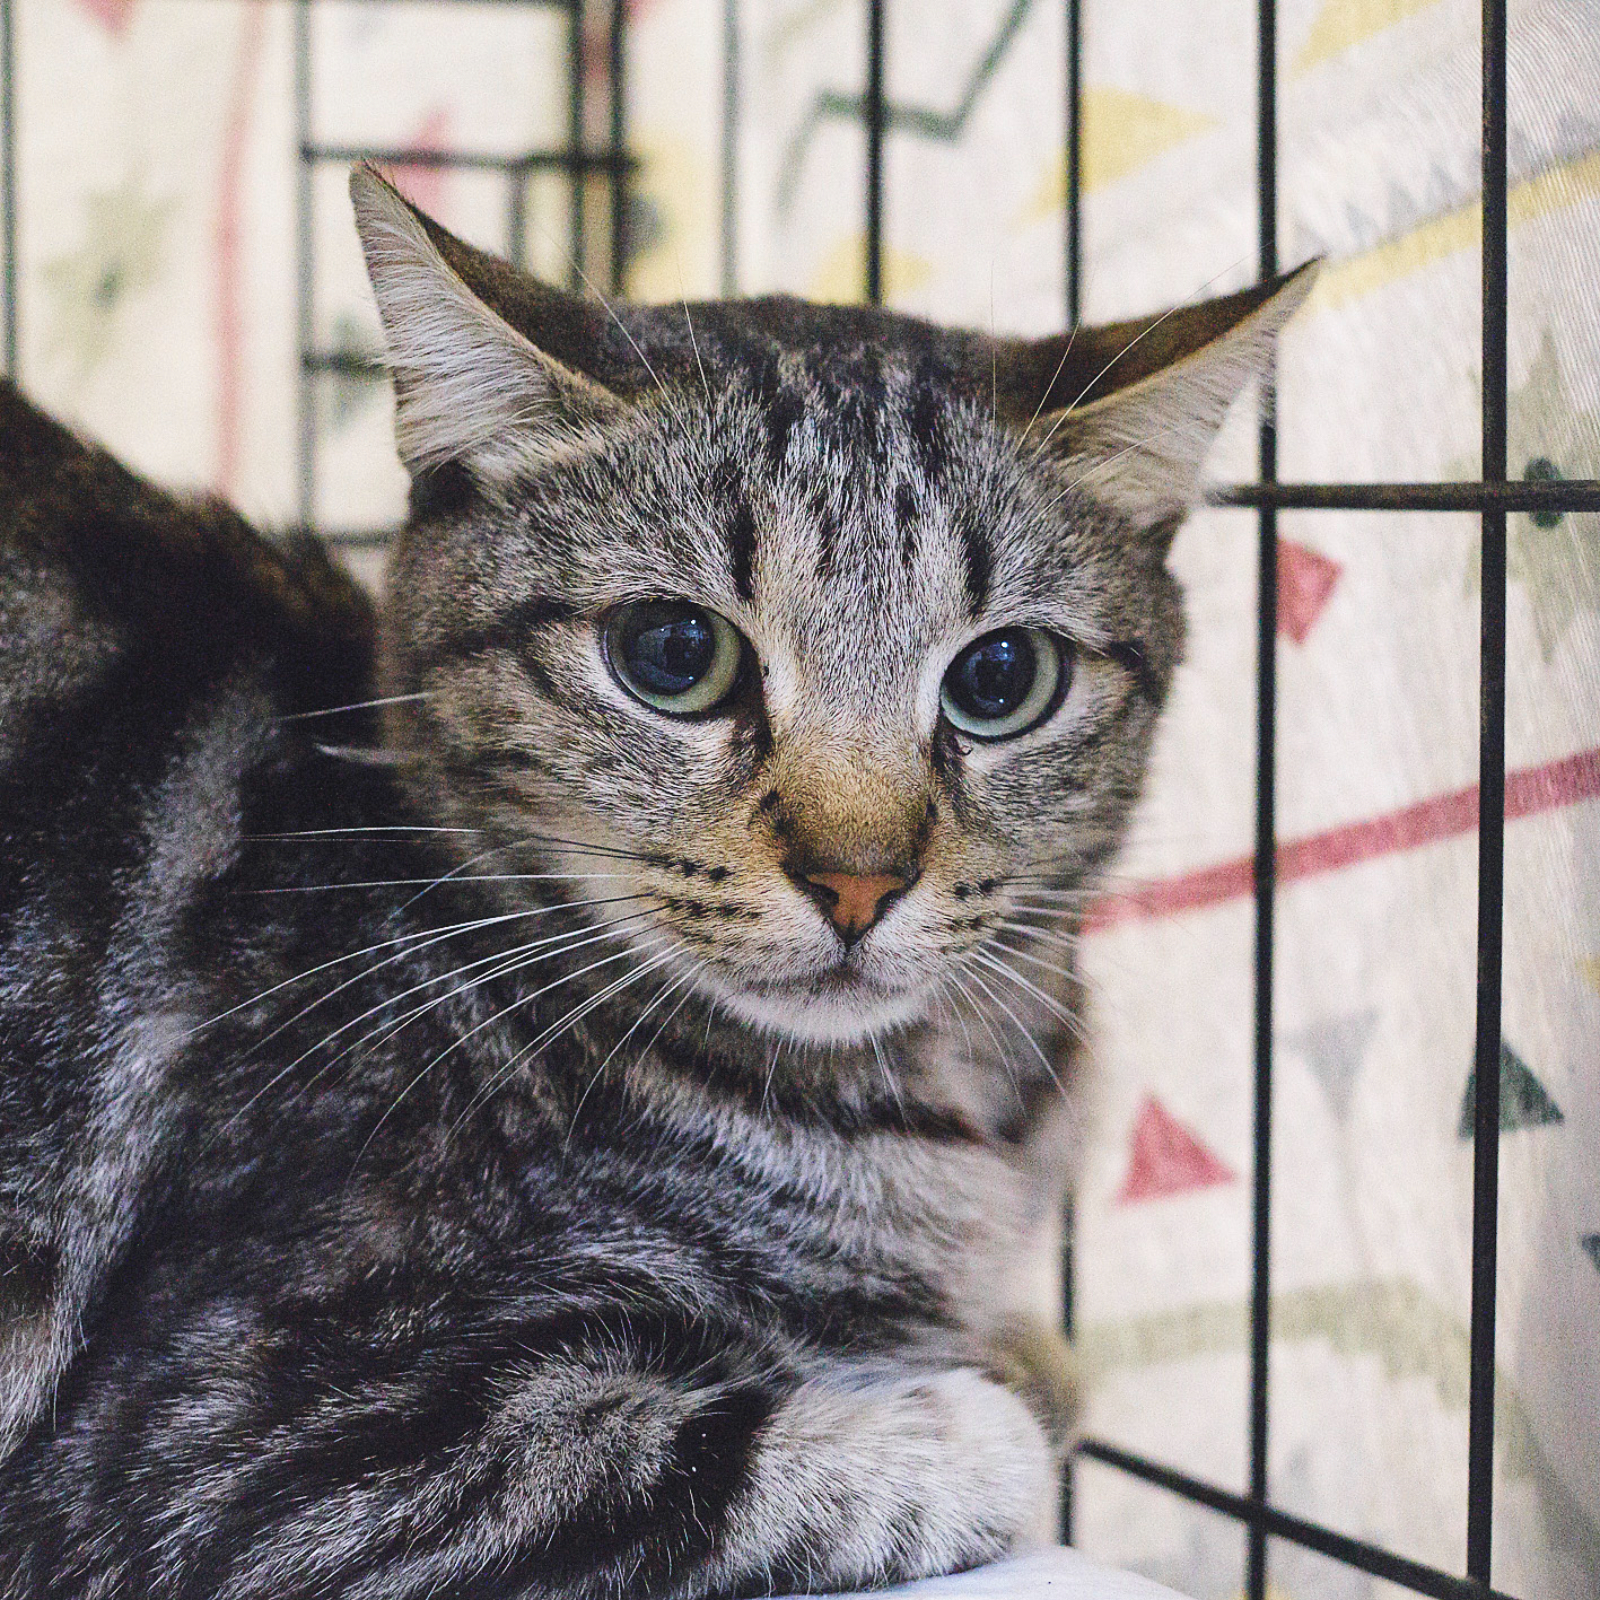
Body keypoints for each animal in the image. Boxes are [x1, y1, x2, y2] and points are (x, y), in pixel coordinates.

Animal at [0, 162, 1311, 1598]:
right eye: (675, 653)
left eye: (1001, 677)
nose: (858, 881)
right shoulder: (231, 1449)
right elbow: (721, 1463)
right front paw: (979, 1406)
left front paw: (1017, 1348)